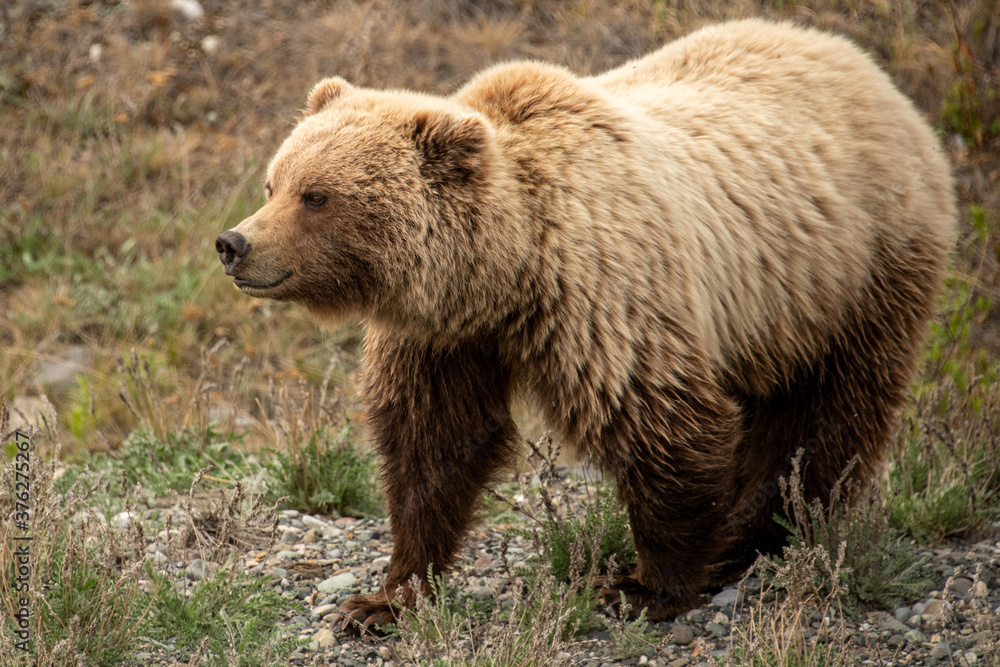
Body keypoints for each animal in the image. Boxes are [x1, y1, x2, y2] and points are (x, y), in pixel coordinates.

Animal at [215, 19, 955, 629]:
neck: (503, 275)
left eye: (317, 196)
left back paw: (758, 534)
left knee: (828, 411)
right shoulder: (444, 339)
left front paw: (642, 586)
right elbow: (434, 443)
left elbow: (663, 428)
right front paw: (383, 598)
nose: (233, 243)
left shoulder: (605, 300)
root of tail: (871, 71)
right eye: (274, 183)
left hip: (856, 273)